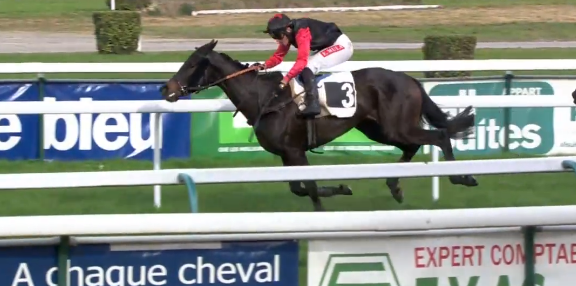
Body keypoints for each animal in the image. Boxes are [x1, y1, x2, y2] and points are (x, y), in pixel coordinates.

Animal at [161, 39, 476, 211]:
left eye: (192, 65)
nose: (166, 89)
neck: (266, 98)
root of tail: (409, 78)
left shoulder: (295, 151)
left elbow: (310, 188)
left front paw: (330, 199)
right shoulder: (286, 154)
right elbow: (299, 189)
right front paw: (340, 189)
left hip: (396, 126)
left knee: (439, 136)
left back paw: (463, 177)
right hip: (378, 128)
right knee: (412, 145)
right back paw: (394, 186)